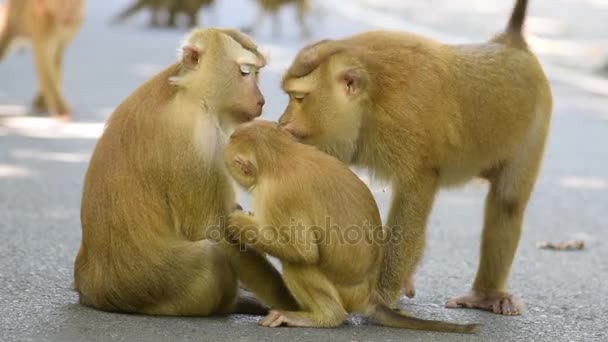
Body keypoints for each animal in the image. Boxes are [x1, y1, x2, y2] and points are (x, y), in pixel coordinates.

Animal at [74, 28, 300, 316]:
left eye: (256, 72)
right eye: (245, 72)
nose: (261, 100)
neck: (192, 95)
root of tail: (91, 290)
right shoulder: (198, 138)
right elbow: (212, 231)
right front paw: (290, 303)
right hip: (150, 287)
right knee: (210, 257)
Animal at [223, 120, 480, 334]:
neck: (281, 156)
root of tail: (367, 297)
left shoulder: (276, 197)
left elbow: (303, 251)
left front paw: (239, 223)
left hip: (346, 294)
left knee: (299, 263)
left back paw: (326, 317)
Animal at [278, 0, 552, 316]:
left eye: (299, 98)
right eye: (290, 96)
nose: (282, 123)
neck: (371, 100)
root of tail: (511, 44)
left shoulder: (403, 121)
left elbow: (416, 192)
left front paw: (381, 295)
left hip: (536, 121)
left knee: (507, 203)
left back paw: (485, 294)